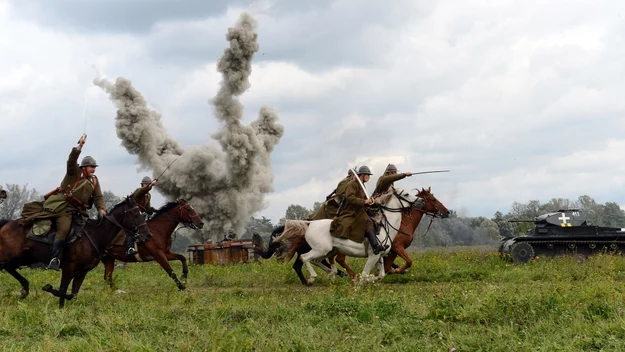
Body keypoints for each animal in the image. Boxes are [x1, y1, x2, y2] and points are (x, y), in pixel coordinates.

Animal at [0, 197, 151, 306]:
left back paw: (25, 289)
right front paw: (58, 303)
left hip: (25, 257)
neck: (94, 236)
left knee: (9, 267)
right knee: (6, 266)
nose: (147, 235)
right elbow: (62, 290)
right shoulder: (69, 267)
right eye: (135, 214)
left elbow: (73, 293)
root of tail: (7, 224)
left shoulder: (82, 271)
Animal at [276, 188, 446, 284]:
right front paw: (360, 280)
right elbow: (366, 274)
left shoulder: (380, 257)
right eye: (405, 194)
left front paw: (370, 278)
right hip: (320, 250)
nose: (421, 201)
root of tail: (310, 223)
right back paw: (312, 278)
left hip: (327, 251)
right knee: (304, 258)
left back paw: (333, 274)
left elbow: (381, 274)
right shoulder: (375, 255)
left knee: (318, 261)